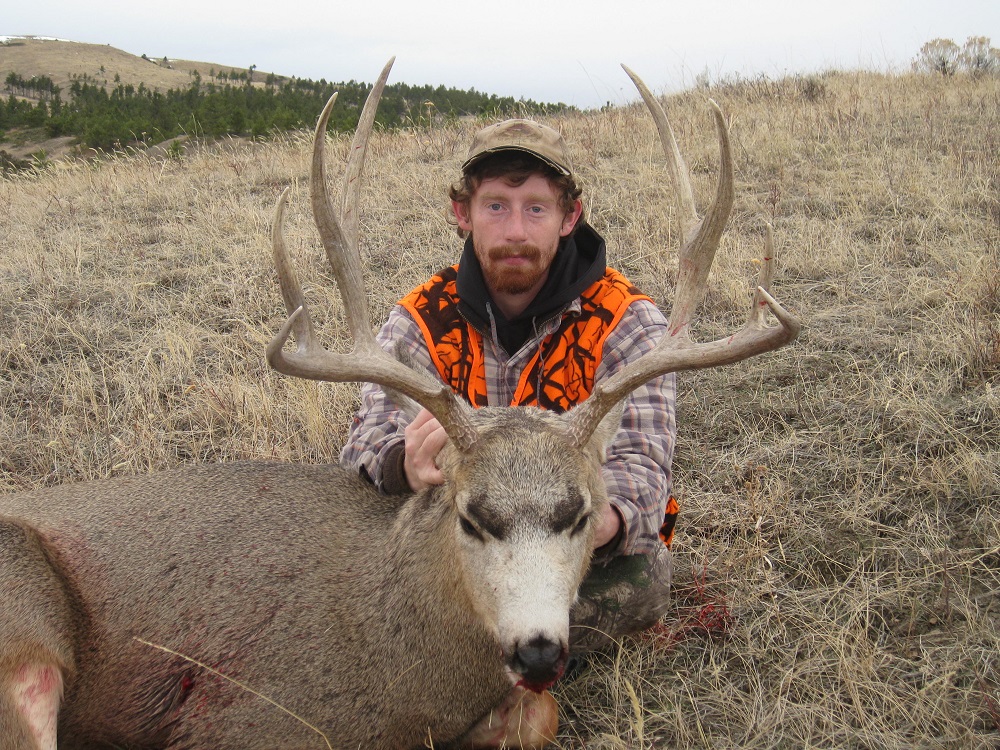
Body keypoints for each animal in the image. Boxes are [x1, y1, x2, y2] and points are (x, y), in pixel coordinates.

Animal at [0, 59, 800, 749]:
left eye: (578, 514)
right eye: (472, 517)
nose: (540, 653)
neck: (392, 642)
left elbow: (535, 716)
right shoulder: (244, 718)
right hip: (24, 628)